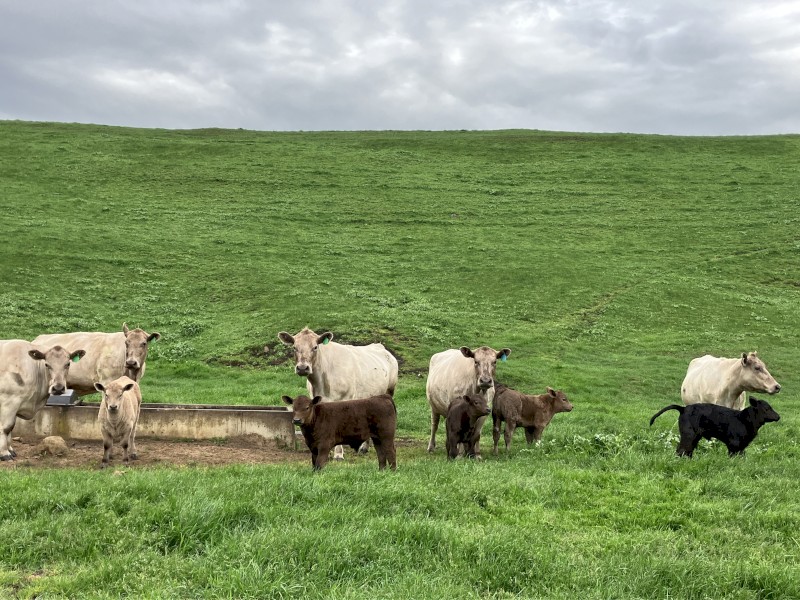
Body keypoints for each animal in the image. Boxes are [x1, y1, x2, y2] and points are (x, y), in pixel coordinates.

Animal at [277, 327, 398, 460]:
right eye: (294, 347)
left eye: (315, 347)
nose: (303, 368)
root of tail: (380, 346)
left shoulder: (345, 399)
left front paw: (338, 454)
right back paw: (364, 448)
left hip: (389, 391)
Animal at [650, 396, 780, 457]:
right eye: (767, 409)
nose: (778, 417)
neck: (744, 419)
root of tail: (683, 408)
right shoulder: (733, 444)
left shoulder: (742, 446)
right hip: (688, 435)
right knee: (681, 450)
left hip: (694, 437)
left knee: (688, 451)